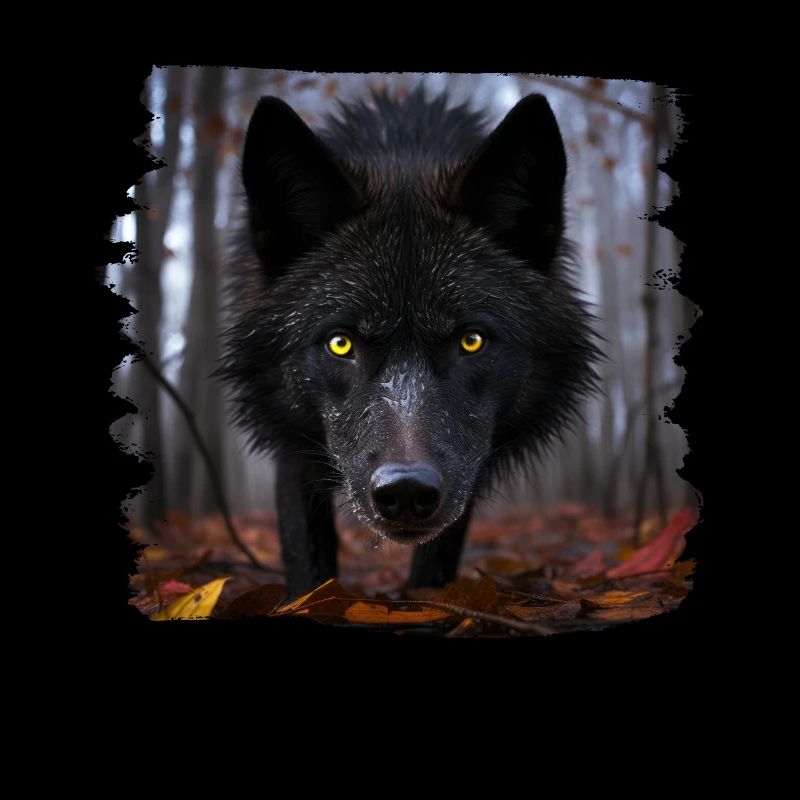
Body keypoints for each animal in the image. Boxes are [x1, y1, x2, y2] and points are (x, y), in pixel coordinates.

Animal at [218, 87, 599, 597]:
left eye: (471, 341)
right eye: (340, 344)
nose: (405, 489)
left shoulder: (466, 465)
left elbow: (438, 555)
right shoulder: (292, 444)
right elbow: (305, 553)